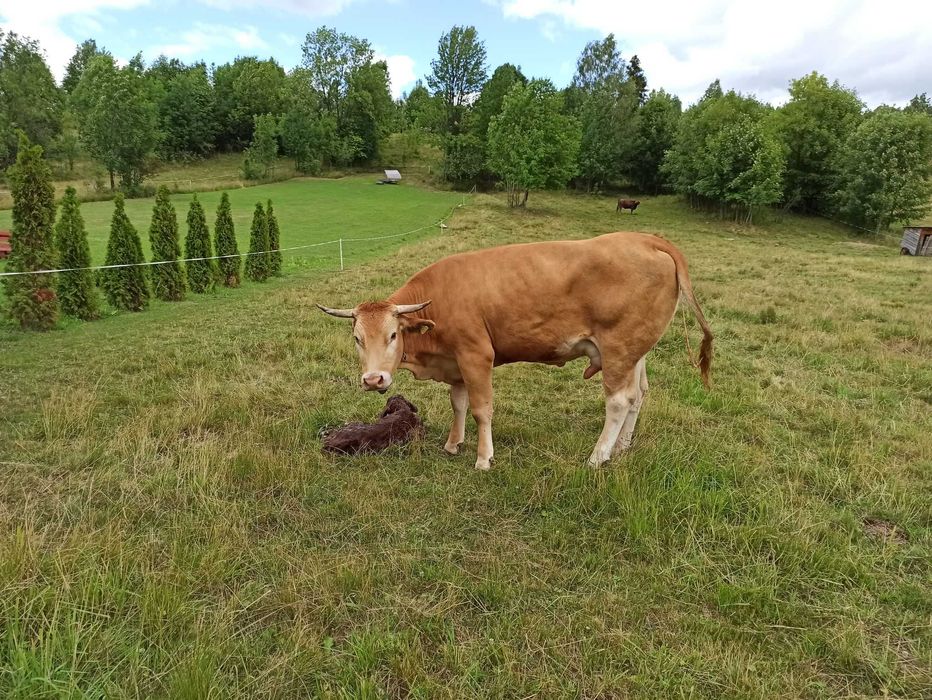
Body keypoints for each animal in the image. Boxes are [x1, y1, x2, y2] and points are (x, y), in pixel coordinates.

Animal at [316, 231, 708, 470]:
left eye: (394, 334)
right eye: (357, 338)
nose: (373, 379)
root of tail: (647, 239)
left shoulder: (477, 356)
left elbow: (481, 409)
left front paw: (483, 457)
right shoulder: (456, 362)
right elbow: (458, 404)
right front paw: (453, 444)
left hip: (618, 350)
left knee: (618, 401)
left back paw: (598, 457)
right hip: (635, 352)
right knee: (638, 394)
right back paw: (622, 446)